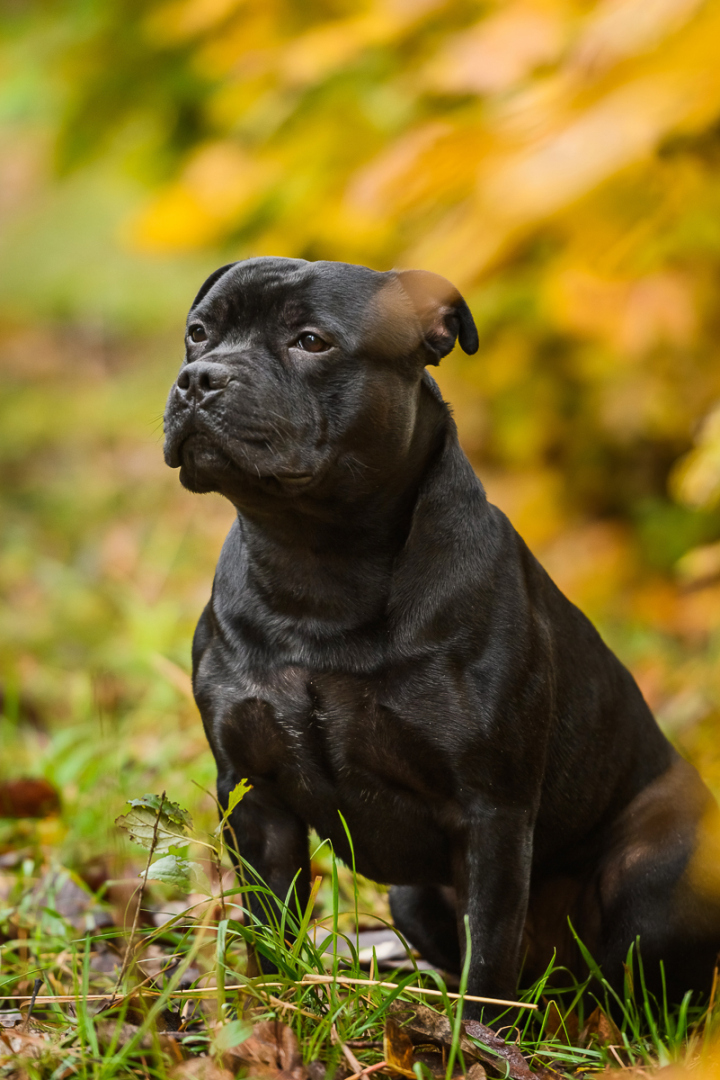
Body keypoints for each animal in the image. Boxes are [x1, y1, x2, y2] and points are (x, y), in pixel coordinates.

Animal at [162, 257, 720, 1015]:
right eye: (199, 333)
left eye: (311, 341)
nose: (200, 378)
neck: (315, 566)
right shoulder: (255, 795)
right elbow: (269, 922)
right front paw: (280, 1012)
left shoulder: (491, 812)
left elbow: (489, 951)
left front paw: (477, 1036)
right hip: (413, 897)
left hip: (658, 874)